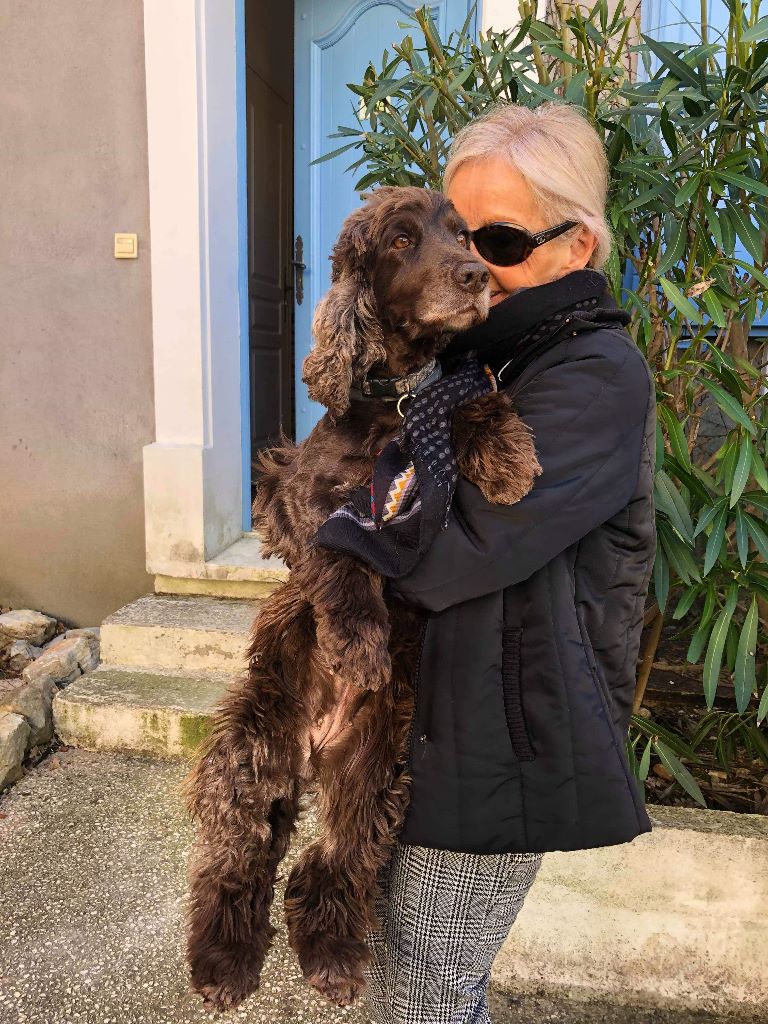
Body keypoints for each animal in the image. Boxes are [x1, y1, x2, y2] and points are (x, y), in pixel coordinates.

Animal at [181, 186, 542, 1012]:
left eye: (464, 235)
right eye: (402, 239)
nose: (475, 277)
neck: (393, 402)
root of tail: (313, 748)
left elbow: (469, 398)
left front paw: (508, 457)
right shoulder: (296, 502)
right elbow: (340, 561)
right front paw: (358, 647)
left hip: (374, 774)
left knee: (329, 863)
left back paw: (335, 958)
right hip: (251, 753)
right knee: (236, 862)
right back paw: (223, 962)